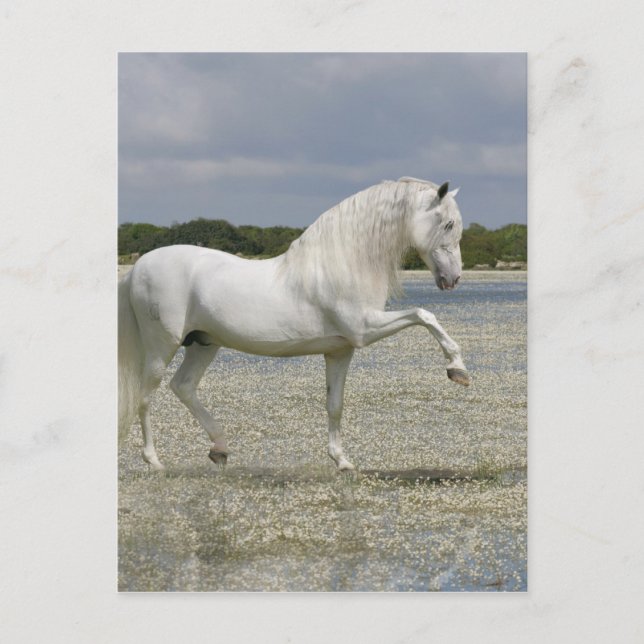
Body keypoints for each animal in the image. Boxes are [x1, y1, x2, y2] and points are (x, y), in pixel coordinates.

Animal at [118, 177, 469, 472]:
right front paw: (457, 369)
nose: (453, 279)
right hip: (162, 347)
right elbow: (424, 315)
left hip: (204, 343)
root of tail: (137, 268)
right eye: (449, 223)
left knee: (184, 386)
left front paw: (342, 461)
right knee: (146, 397)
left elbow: (334, 405)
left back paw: (220, 448)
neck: (342, 263)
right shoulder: (364, 329)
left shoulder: (341, 351)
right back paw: (155, 461)